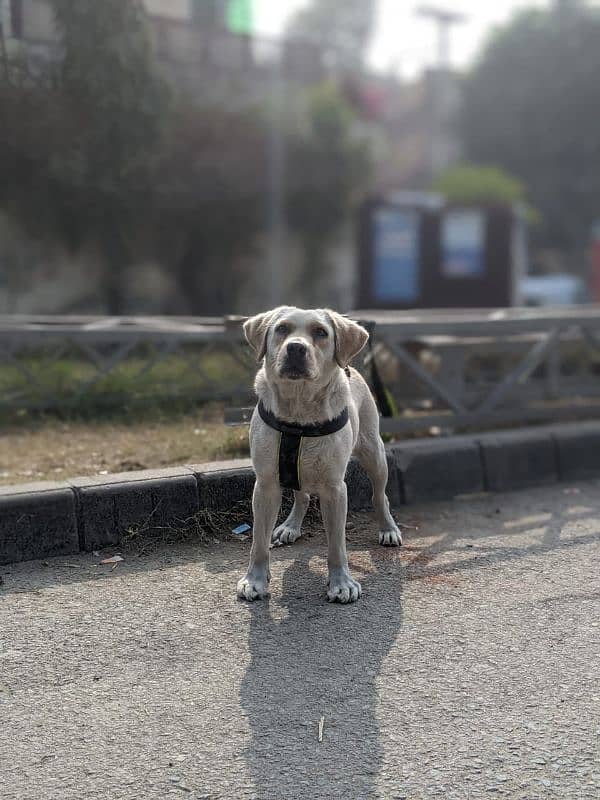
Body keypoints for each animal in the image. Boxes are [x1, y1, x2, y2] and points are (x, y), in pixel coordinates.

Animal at [237, 304, 400, 604]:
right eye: (282, 329)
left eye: (321, 333)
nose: (295, 348)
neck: (299, 410)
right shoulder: (265, 485)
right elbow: (258, 542)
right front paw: (254, 580)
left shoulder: (335, 489)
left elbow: (337, 545)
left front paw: (341, 583)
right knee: (301, 496)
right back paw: (291, 526)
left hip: (374, 453)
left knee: (379, 494)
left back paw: (388, 528)